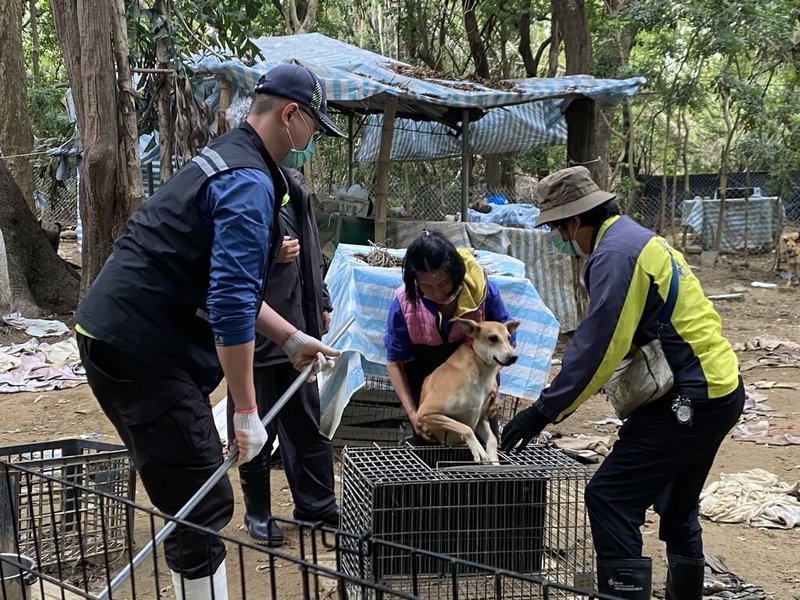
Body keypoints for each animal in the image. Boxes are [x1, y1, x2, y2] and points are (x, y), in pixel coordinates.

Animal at [416, 318, 520, 464]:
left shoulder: (481, 418)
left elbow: (493, 439)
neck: (481, 374)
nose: (514, 357)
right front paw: (479, 449)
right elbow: (466, 428)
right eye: (493, 338)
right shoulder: (426, 412)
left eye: (509, 338)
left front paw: (494, 461)